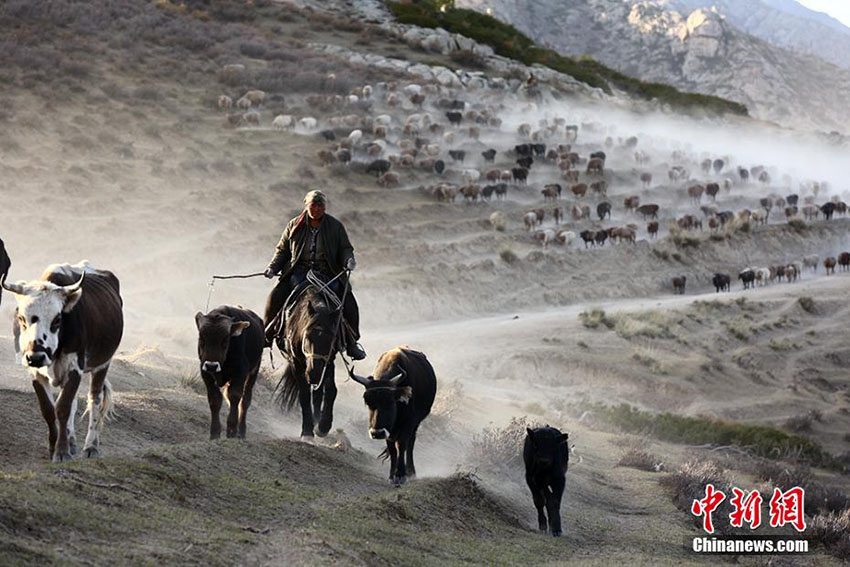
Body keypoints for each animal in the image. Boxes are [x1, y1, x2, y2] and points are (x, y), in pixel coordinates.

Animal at [3, 264, 123, 464]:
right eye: (21, 318)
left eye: (57, 319)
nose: (35, 357)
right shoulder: (36, 373)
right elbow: (49, 409)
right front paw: (54, 447)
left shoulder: (74, 368)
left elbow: (63, 408)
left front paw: (61, 451)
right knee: (75, 402)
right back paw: (72, 441)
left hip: (103, 364)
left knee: (95, 399)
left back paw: (91, 446)